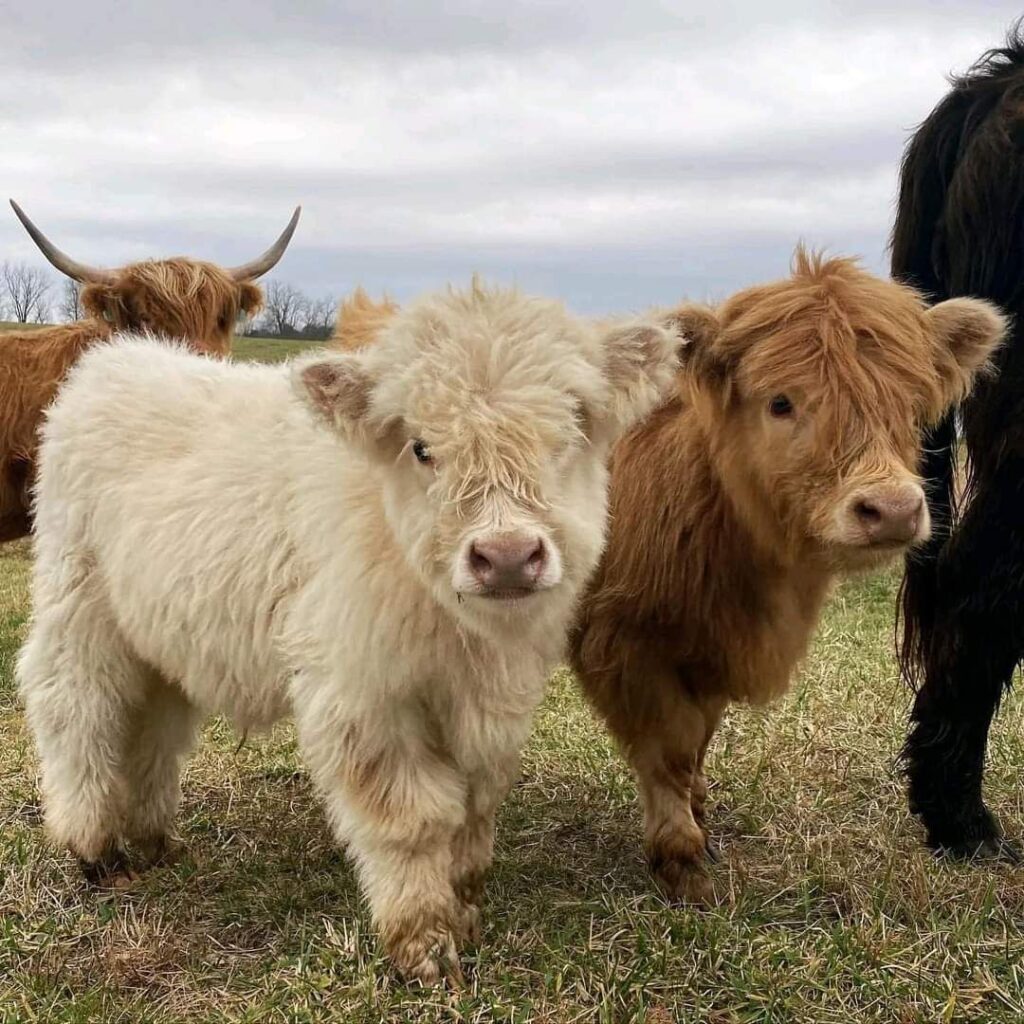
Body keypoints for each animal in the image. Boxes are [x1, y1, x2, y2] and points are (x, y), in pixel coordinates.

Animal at [17, 280, 680, 984]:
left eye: (572, 430)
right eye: (421, 447)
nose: (505, 557)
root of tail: (116, 359)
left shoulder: (494, 698)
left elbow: (476, 801)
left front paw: (465, 905)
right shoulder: (363, 695)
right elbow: (411, 817)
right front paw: (425, 945)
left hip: (159, 627)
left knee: (154, 718)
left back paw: (151, 840)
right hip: (77, 600)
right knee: (74, 702)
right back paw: (94, 846)